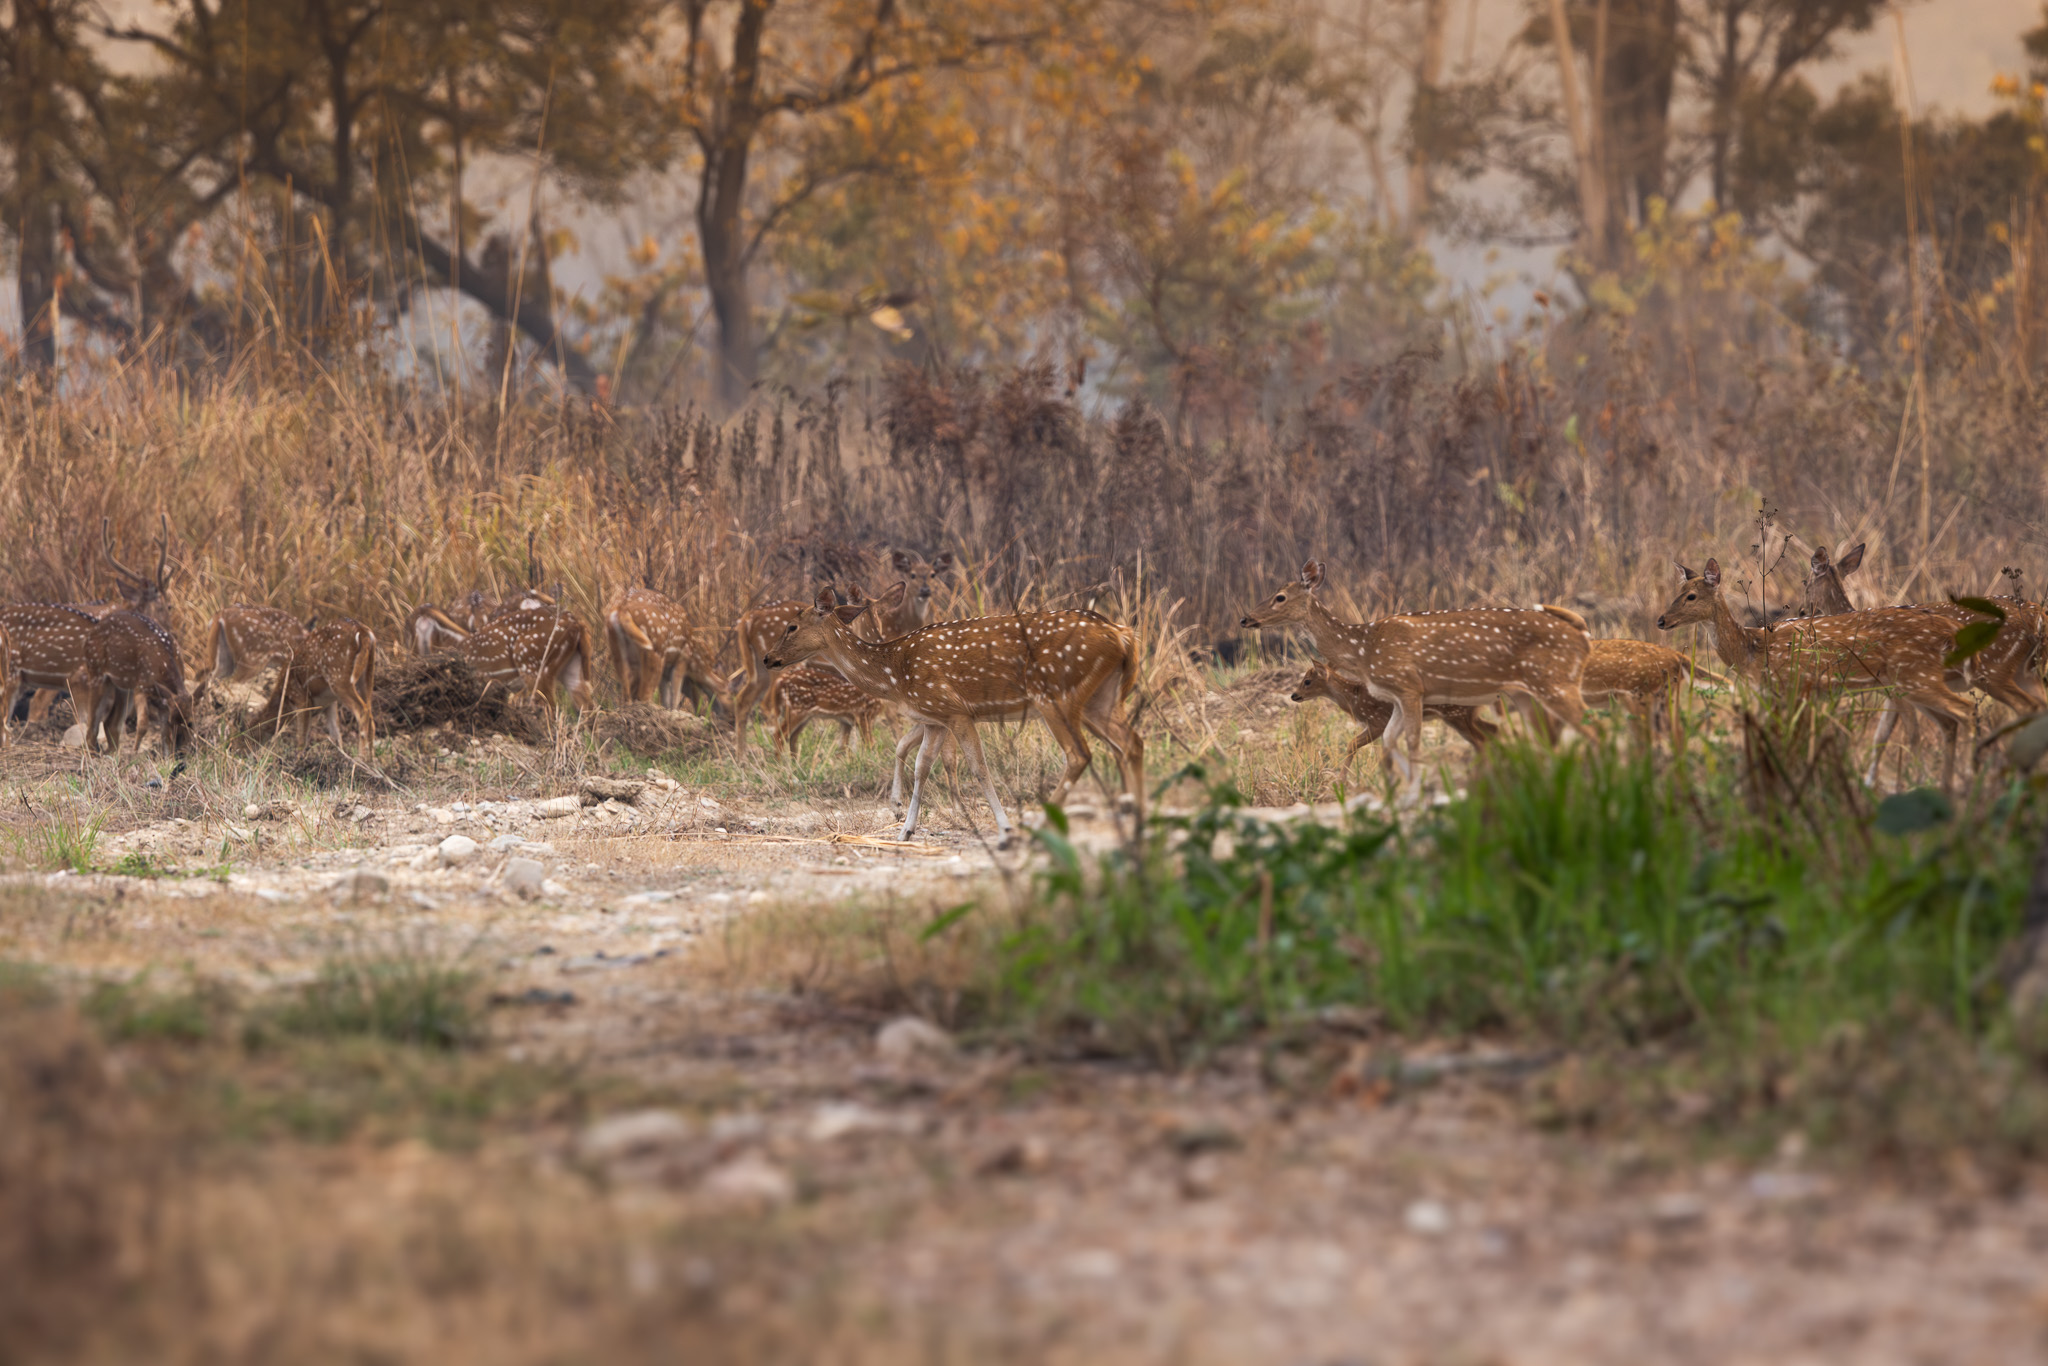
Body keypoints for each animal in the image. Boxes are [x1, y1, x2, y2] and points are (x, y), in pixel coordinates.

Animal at [258, 618, 378, 757]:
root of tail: (363, 631)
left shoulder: (300, 697)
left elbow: (302, 736)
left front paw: (298, 757)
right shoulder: (330, 703)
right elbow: (336, 735)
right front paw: (340, 756)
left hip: (339, 676)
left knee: (362, 711)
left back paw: (360, 759)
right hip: (367, 675)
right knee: (370, 716)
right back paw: (371, 760)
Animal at [764, 583, 1144, 844]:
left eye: (792, 627)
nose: (768, 658)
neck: (895, 674)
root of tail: (1123, 635)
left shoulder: (957, 711)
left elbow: (978, 767)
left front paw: (1004, 829)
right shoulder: (936, 717)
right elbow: (921, 766)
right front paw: (905, 830)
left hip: (1055, 695)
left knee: (1079, 754)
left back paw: (1037, 826)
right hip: (1099, 699)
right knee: (1131, 743)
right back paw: (1136, 823)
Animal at [1288, 659, 1498, 772]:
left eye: (1307, 681)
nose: (1293, 695)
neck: (1354, 698)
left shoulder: (1377, 721)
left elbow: (1352, 744)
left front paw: (1341, 782)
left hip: (1457, 715)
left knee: (1482, 741)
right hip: (1467, 715)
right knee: (1492, 731)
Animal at [1655, 558, 1980, 788]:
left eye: (1691, 596)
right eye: (1677, 592)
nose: (1661, 620)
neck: (1752, 650)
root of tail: (1949, 630)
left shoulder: (1797, 687)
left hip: (1916, 676)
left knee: (1965, 709)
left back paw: (1969, 778)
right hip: (1912, 682)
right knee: (1950, 721)